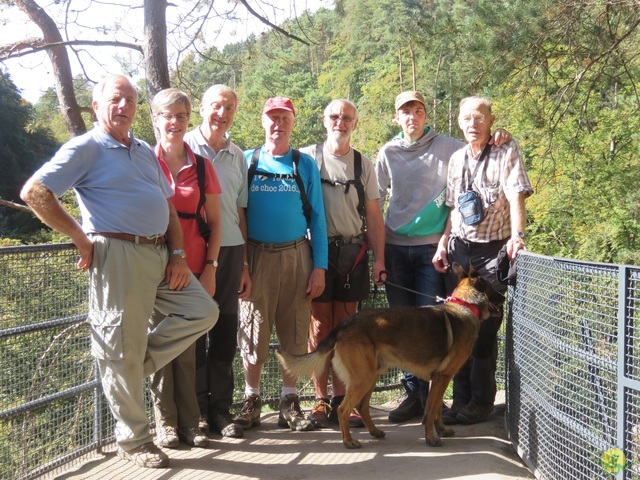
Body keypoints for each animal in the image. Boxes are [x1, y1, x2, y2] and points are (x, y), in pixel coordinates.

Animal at [276, 262, 490, 450]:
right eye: (492, 287)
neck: (465, 305)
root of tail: (344, 324)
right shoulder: (442, 378)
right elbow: (430, 412)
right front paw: (432, 438)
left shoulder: (438, 380)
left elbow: (436, 409)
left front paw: (442, 430)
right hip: (364, 379)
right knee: (344, 409)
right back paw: (349, 442)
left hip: (370, 376)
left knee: (362, 407)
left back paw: (375, 432)